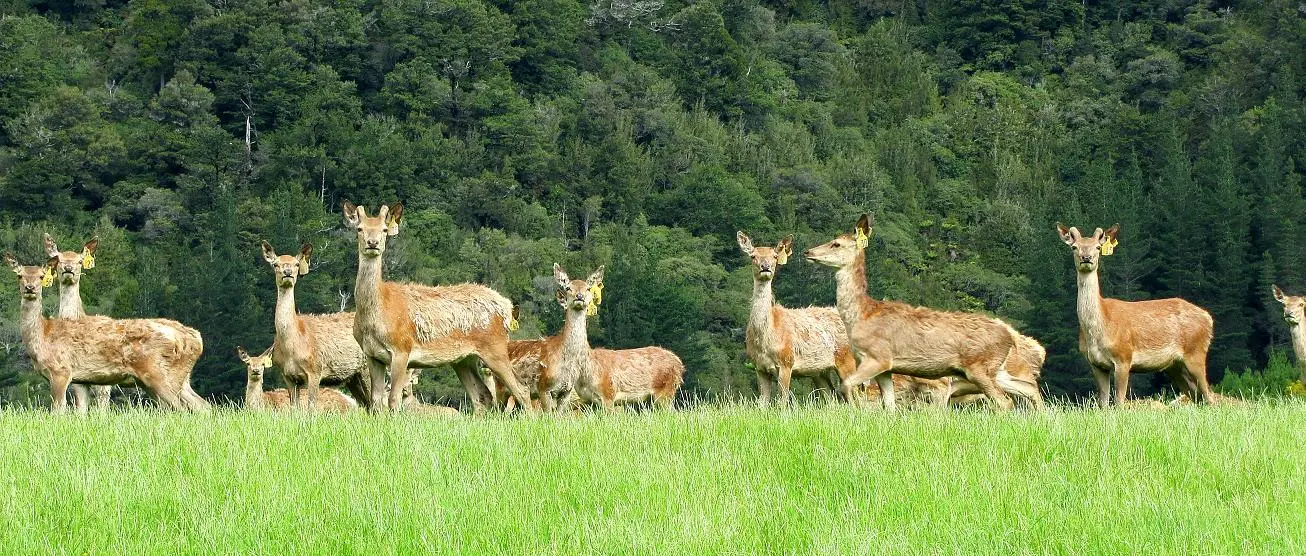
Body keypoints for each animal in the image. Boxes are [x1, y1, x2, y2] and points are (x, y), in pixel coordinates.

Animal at [6, 253, 208, 412]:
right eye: (19, 276)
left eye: (41, 276)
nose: (30, 288)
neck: (43, 338)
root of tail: (196, 340)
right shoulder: (80, 379)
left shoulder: (61, 371)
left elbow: (58, 412)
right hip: (180, 378)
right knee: (202, 406)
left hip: (159, 374)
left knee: (181, 409)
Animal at [260, 241, 372, 411]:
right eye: (275, 264)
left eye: (296, 263)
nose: (287, 272)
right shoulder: (288, 376)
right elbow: (294, 409)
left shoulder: (315, 370)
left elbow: (311, 408)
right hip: (353, 376)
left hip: (368, 366)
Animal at [342, 202, 533, 412]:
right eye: (360, 229)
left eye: (384, 229)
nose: (373, 243)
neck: (378, 312)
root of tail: (506, 308)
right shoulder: (371, 355)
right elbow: (375, 401)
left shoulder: (402, 349)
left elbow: (393, 399)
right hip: (464, 359)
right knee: (482, 396)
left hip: (495, 347)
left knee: (521, 389)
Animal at [804, 214, 1035, 411]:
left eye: (836, 243)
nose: (808, 252)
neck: (862, 315)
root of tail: (1010, 336)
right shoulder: (887, 368)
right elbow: (889, 406)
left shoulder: (878, 357)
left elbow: (846, 386)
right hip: (995, 369)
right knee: (1027, 388)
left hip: (980, 366)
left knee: (1005, 402)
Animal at [1057, 223, 1215, 406]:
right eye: (1074, 247)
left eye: (1097, 247)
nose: (1086, 258)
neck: (1101, 325)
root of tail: (1208, 317)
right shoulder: (1096, 364)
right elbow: (1103, 404)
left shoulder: (1124, 357)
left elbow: (1119, 402)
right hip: (1175, 366)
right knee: (1198, 396)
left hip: (1196, 351)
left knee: (1210, 396)